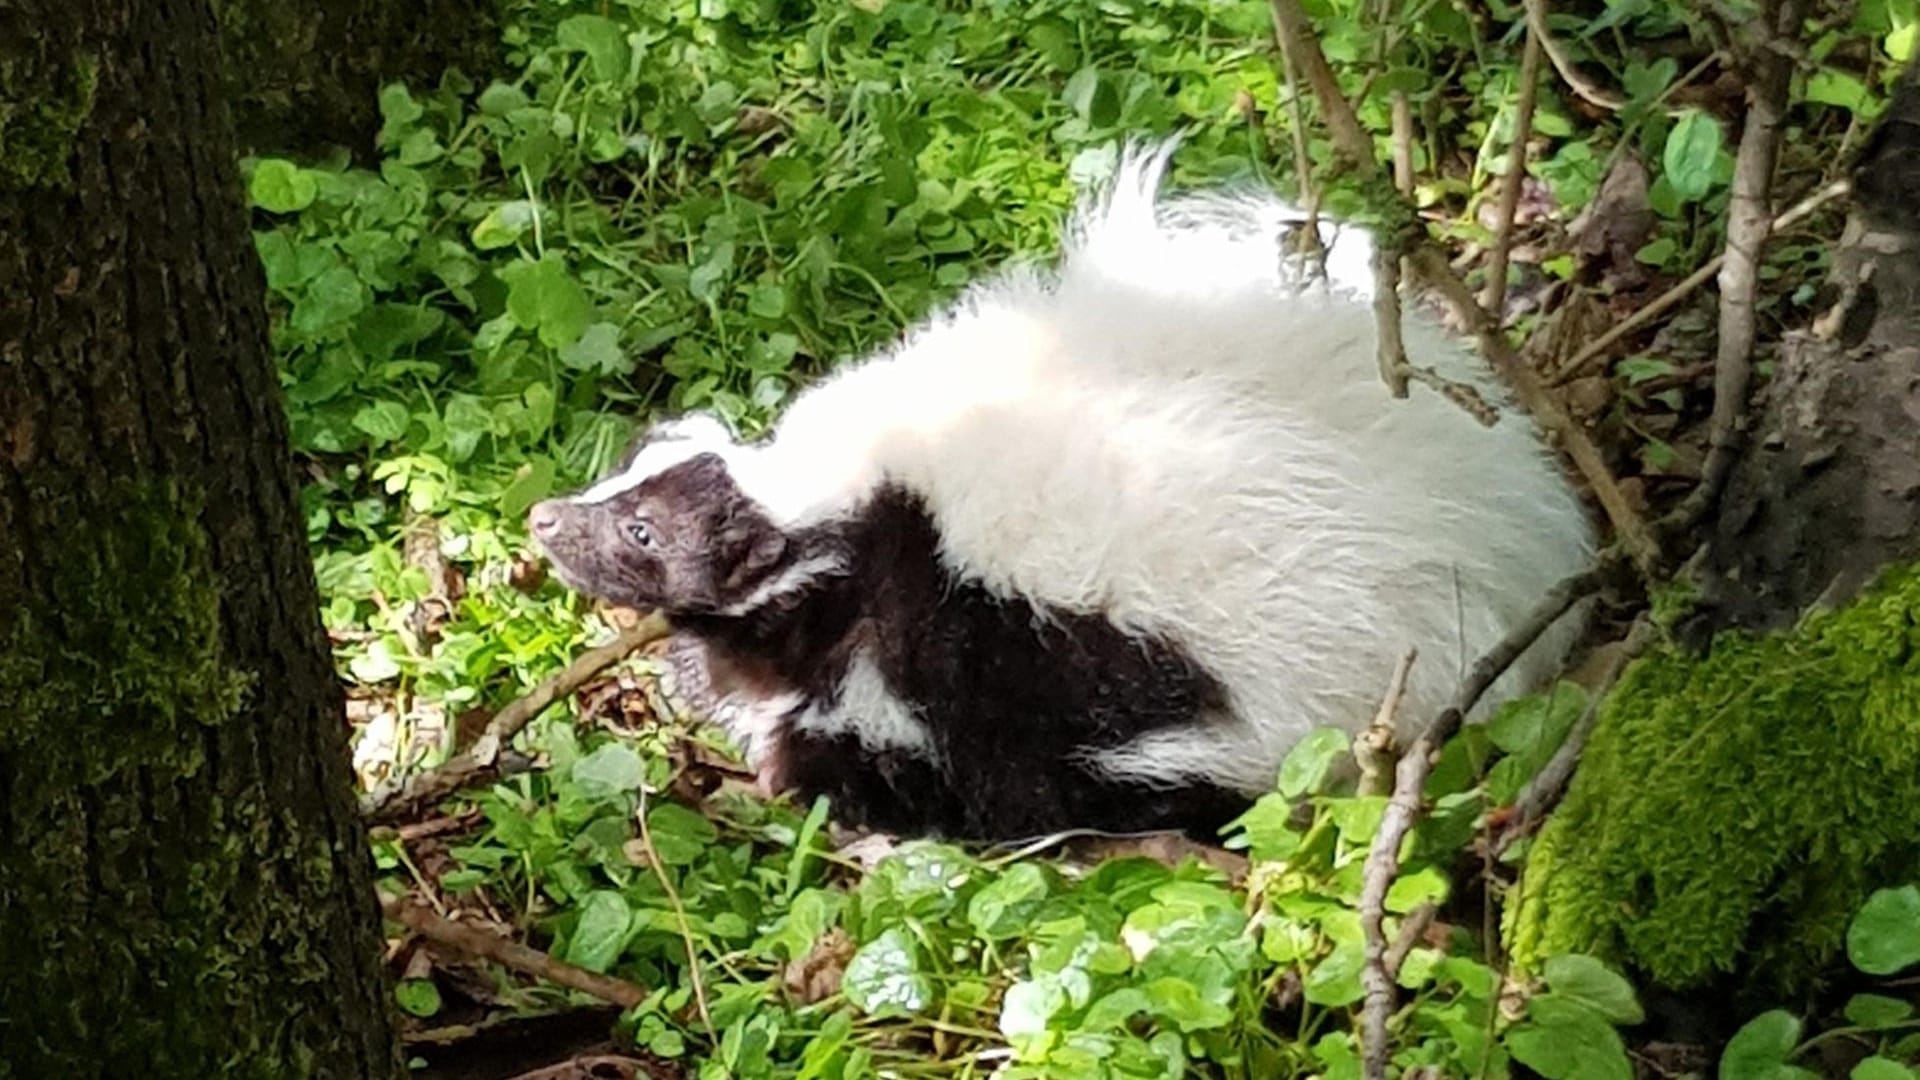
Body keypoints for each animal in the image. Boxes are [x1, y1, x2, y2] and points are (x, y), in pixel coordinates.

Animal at [526, 138, 1589, 837]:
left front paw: (830, 776)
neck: (857, 512)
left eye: (643, 533)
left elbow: (954, 759)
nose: (543, 518)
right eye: (628, 472)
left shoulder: (969, 645)